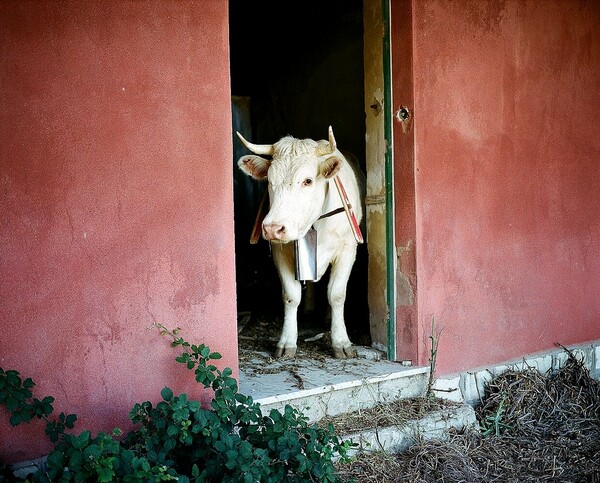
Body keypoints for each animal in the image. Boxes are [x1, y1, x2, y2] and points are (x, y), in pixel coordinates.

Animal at [237, 125, 364, 360]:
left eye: (308, 181)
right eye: (269, 181)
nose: (272, 228)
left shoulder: (347, 248)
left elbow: (336, 294)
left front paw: (341, 341)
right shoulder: (281, 251)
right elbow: (290, 295)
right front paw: (287, 341)